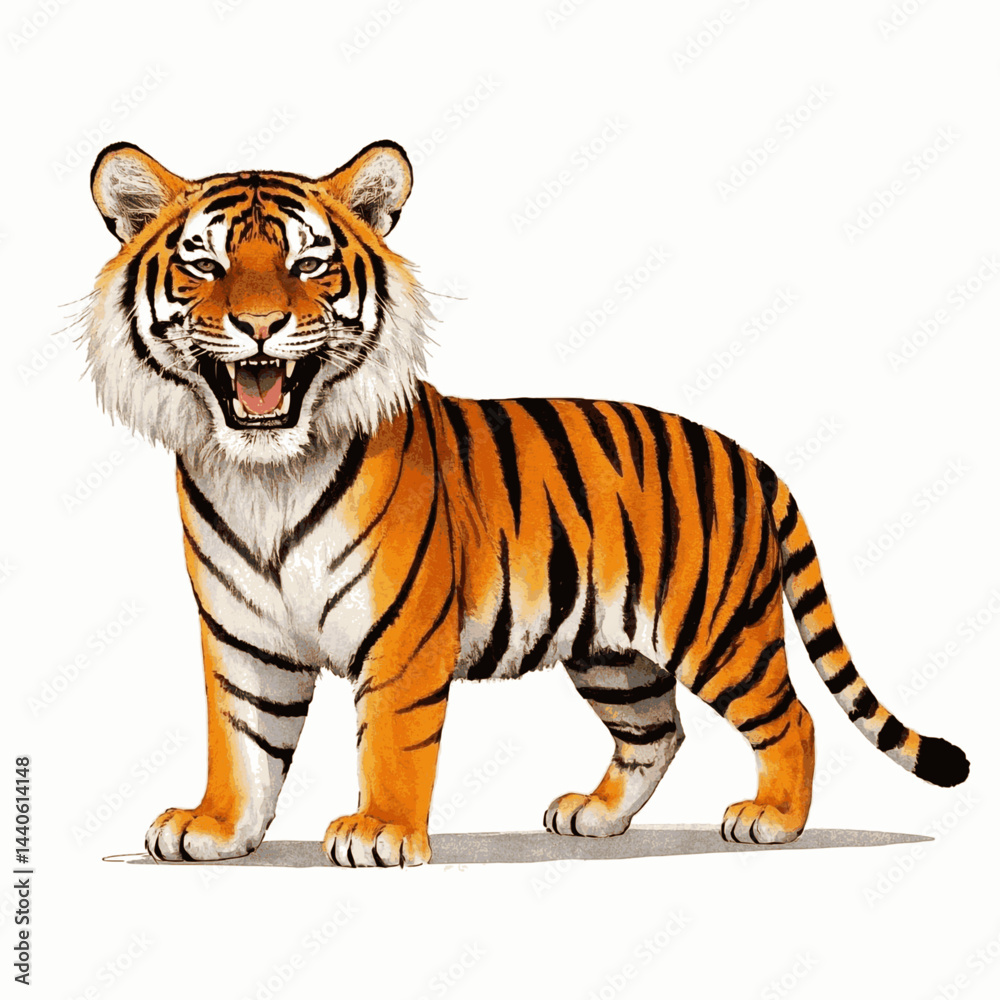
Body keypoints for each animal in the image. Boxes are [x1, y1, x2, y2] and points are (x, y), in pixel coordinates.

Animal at [84, 139, 969, 867]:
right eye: (204, 266)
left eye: (308, 266)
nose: (260, 326)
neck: (266, 475)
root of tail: (751, 458)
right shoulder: (244, 636)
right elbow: (242, 739)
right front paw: (216, 829)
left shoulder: (403, 633)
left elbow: (392, 739)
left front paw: (379, 833)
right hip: (613, 652)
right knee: (658, 730)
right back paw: (596, 816)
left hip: (718, 630)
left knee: (792, 718)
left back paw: (772, 820)